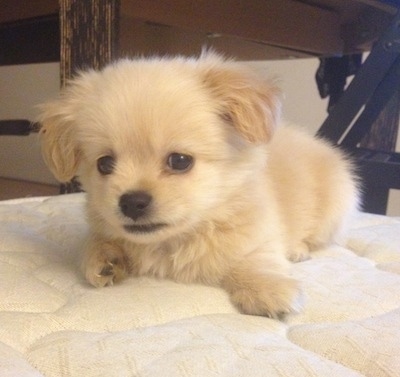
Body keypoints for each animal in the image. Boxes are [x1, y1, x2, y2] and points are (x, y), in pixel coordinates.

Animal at [39, 53, 360, 318]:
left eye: (180, 161)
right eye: (104, 164)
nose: (131, 202)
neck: (170, 242)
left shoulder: (257, 237)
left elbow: (255, 259)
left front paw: (269, 288)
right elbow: (93, 242)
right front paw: (105, 257)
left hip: (333, 211)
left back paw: (297, 249)